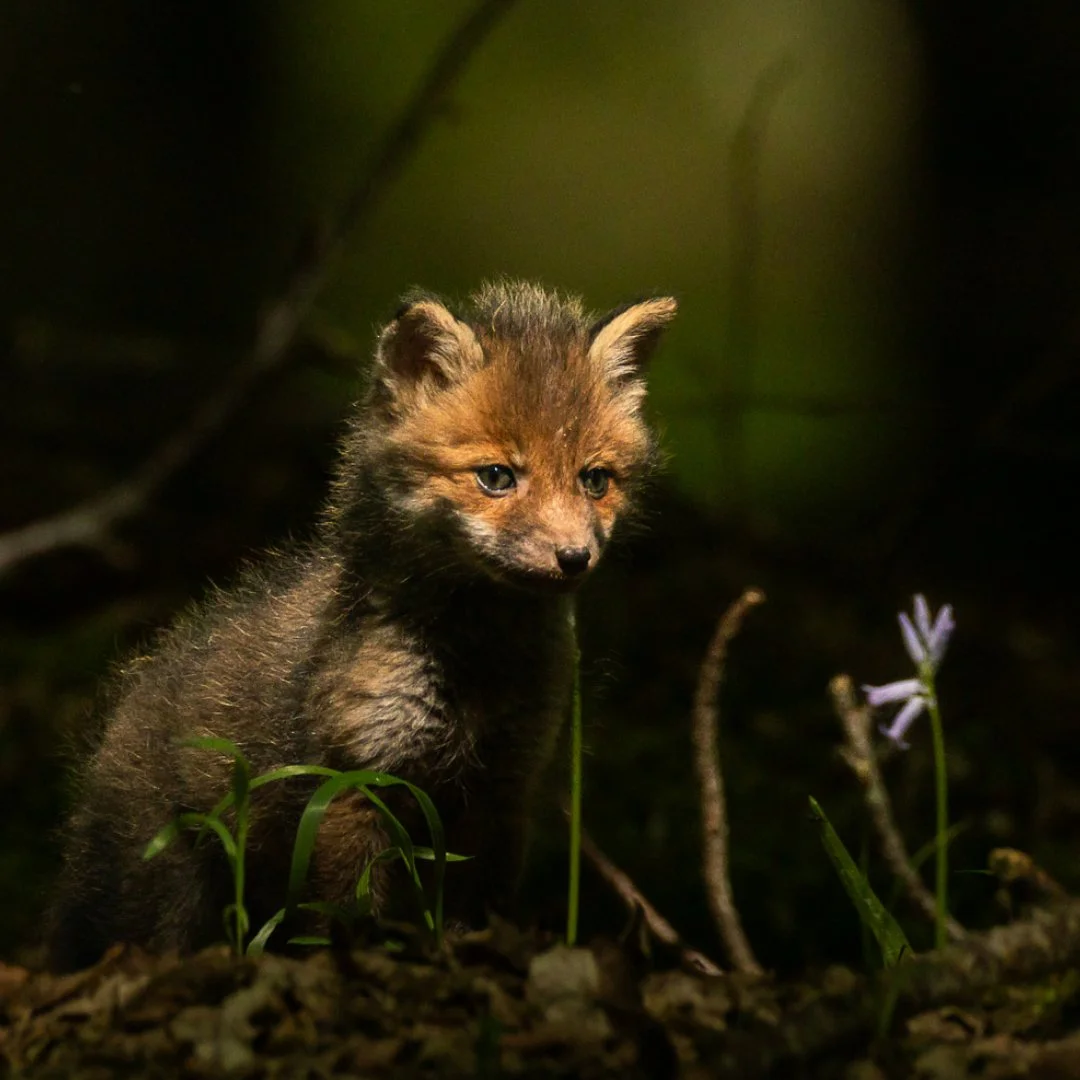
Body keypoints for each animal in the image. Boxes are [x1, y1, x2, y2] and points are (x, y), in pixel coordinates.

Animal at [46, 279, 677, 971]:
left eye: (595, 480)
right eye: (496, 477)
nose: (574, 557)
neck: (477, 668)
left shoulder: (504, 785)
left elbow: (476, 910)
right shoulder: (355, 778)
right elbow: (349, 912)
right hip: (167, 891)